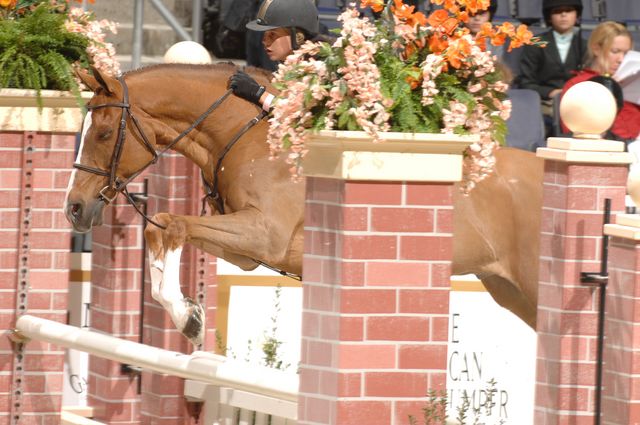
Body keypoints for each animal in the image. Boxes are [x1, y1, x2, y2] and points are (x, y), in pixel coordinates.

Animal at [65, 65, 544, 344]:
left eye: (103, 133)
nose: (74, 209)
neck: (245, 133)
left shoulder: (264, 235)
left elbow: (171, 223)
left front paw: (190, 321)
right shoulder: (246, 250)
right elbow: (159, 226)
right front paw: (187, 311)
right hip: (510, 291)